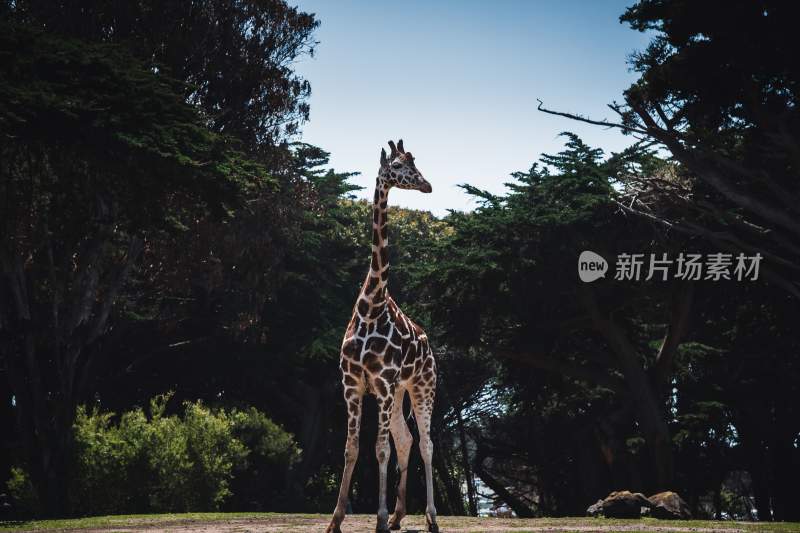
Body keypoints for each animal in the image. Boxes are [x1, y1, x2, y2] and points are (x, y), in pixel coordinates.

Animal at [324, 139, 438, 528]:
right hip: (400, 391)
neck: (371, 306)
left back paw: (429, 516)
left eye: (414, 164)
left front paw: (379, 517)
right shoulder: (353, 383)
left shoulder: (384, 384)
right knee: (406, 440)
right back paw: (400, 516)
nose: (427, 185)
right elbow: (352, 448)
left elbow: (381, 449)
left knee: (425, 444)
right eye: (400, 167)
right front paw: (335, 520)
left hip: (422, 386)